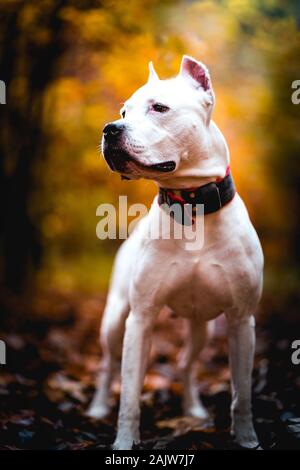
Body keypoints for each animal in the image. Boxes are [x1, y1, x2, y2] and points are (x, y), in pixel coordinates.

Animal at [86, 56, 262, 452]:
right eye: (123, 111)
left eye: (159, 108)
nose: (109, 129)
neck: (191, 203)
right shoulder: (140, 319)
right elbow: (130, 393)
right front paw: (124, 441)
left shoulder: (241, 320)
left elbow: (241, 393)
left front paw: (247, 438)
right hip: (114, 318)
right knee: (107, 364)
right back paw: (99, 406)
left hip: (203, 328)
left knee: (185, 363)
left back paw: (193, 409)